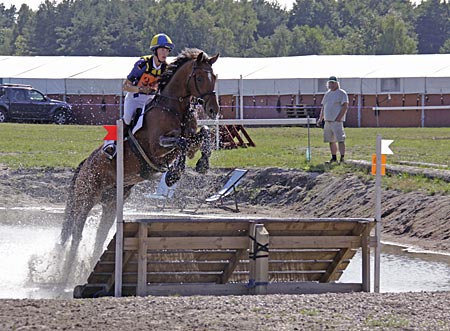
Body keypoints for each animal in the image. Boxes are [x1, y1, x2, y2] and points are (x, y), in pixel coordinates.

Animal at [59, 48, 221, 278]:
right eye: (199, 78)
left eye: (214, 77)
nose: (213, 110)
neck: (174, 107)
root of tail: (84, 164)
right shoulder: (156, 148)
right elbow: (180, 142)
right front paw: (173, 175)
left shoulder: (191, 142)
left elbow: (203, 134)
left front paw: (202, 164)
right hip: (86, 196)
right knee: (76, 232)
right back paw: (66, 271)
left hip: (112, 203)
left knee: (100, 235)